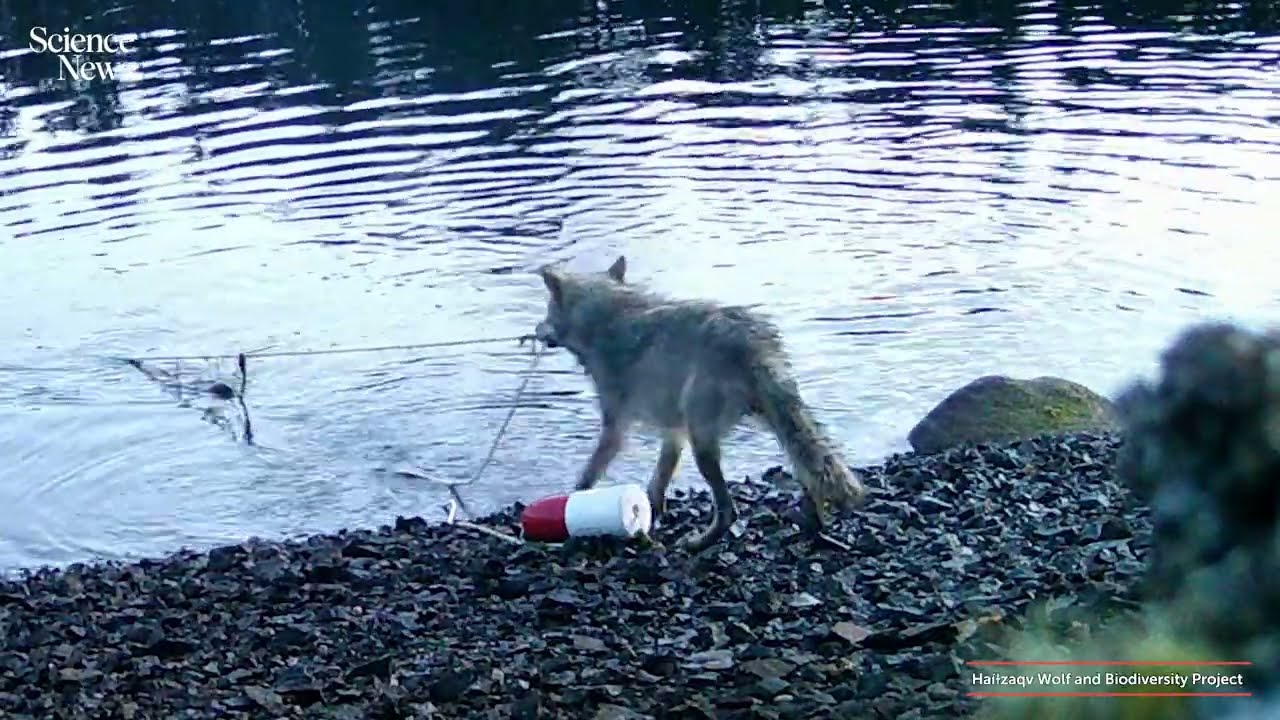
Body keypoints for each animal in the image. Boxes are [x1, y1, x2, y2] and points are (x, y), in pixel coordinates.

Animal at [533, 255, 866, 551]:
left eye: (547, 311)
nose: (536, 331)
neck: (602, 318)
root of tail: (753, 343)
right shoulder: (673, 432)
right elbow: (657, 483)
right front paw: (650, 520)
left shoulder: (616, 428)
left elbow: (589, 475)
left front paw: (572, 506)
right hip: (776, 424)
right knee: (810, 475)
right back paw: (814, 527)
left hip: (704, 442)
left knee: (729, 510)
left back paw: (698, 544)